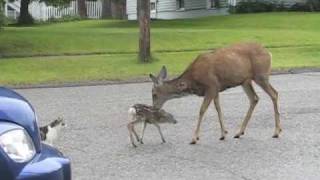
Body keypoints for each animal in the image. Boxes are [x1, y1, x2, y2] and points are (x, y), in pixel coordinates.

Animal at [149, 42, 282, 145]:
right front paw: (223, 133)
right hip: (245, 81)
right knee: (254, 98)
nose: (154, 108)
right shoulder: (216, 88)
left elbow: (202, 110)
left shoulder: (211, 85)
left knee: (274, 94)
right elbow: (218, 109)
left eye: (154, 94)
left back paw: (276, 131)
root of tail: (269, 53)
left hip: (261, 75)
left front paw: (194, 138)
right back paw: (239, 132)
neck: (192, 81)